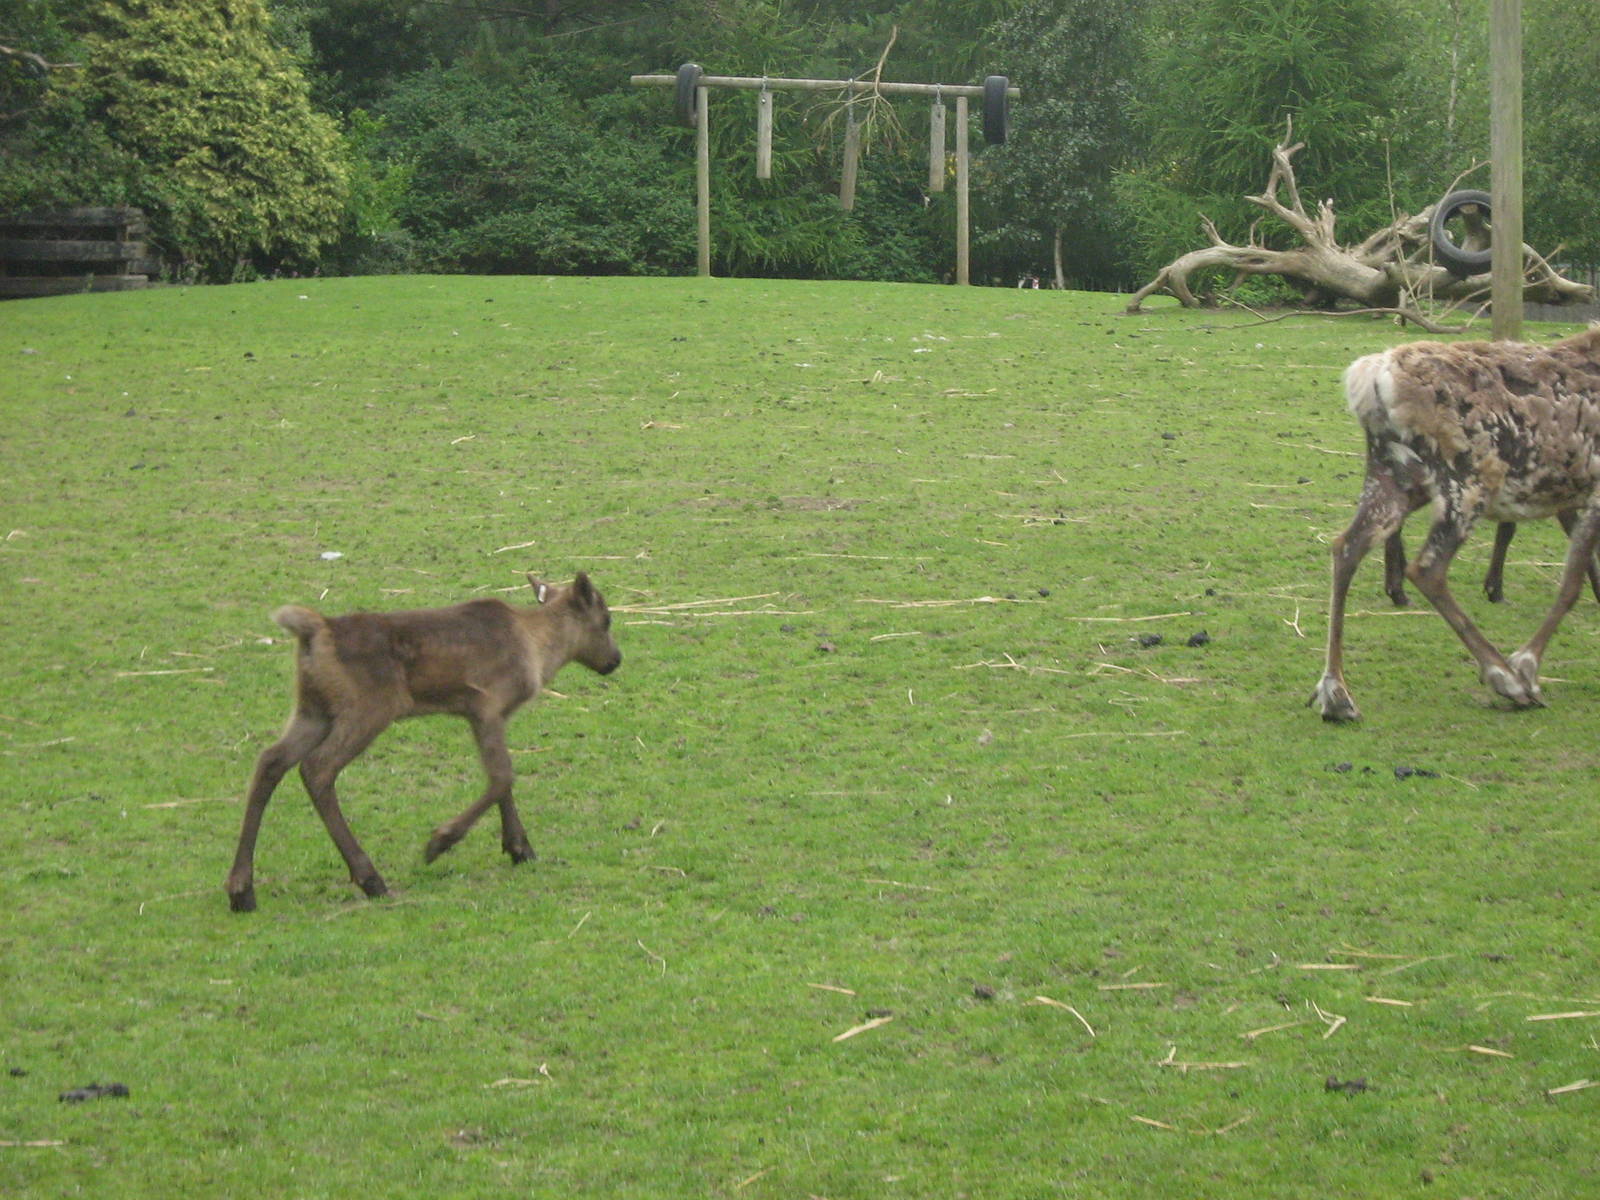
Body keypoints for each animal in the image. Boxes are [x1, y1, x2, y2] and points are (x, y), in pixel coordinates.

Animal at [225, 573, 621, 911]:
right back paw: (370, 878)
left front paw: (519, 848)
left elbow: (504, 779)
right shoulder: (485, 704)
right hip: (368, 708)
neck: (538, 649)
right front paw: (440, 842)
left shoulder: (489, 714)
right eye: (606, 619)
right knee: (317, 767)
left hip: (313, 710)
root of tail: (314, 632)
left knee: (270, 761)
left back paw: (241, 890)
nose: (615, 660)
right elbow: (502, 776)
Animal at [1311, 325, 1600, 722]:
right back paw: (1506, 678)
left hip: (1394, 476)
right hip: (1467, 483)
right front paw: (1526, 665)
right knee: (1426, 568)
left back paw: (1337, 693)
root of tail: (1370, 377)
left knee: (1346, 546)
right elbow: (1571, 585)